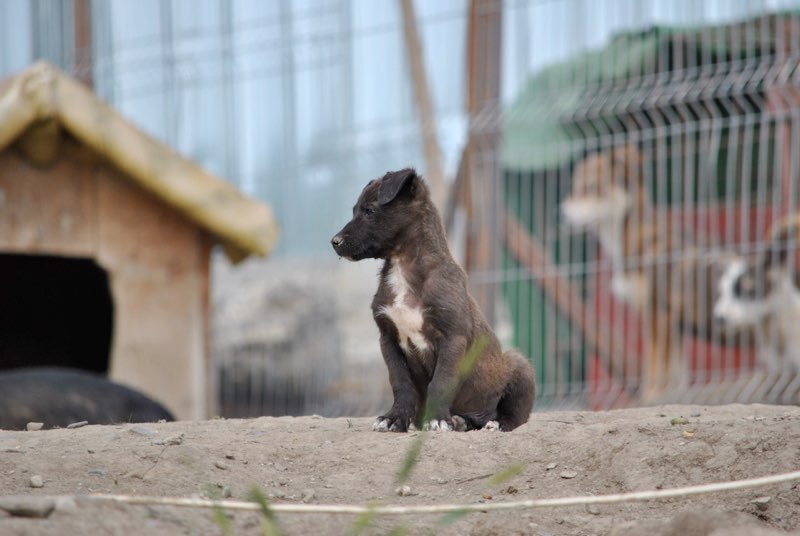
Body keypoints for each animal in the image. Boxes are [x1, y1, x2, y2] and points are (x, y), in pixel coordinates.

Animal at [328, 170, 536, 434]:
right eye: (354, 210)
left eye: (370, 211)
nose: (334, 241)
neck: (404, 268)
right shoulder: (388, 340)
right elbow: (400, 383)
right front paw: (395, 418)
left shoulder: (452, 338)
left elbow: (442, 381)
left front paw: (436, 419)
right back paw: (461, 420)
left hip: (519, 365)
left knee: (517, 414)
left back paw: (495, 422)